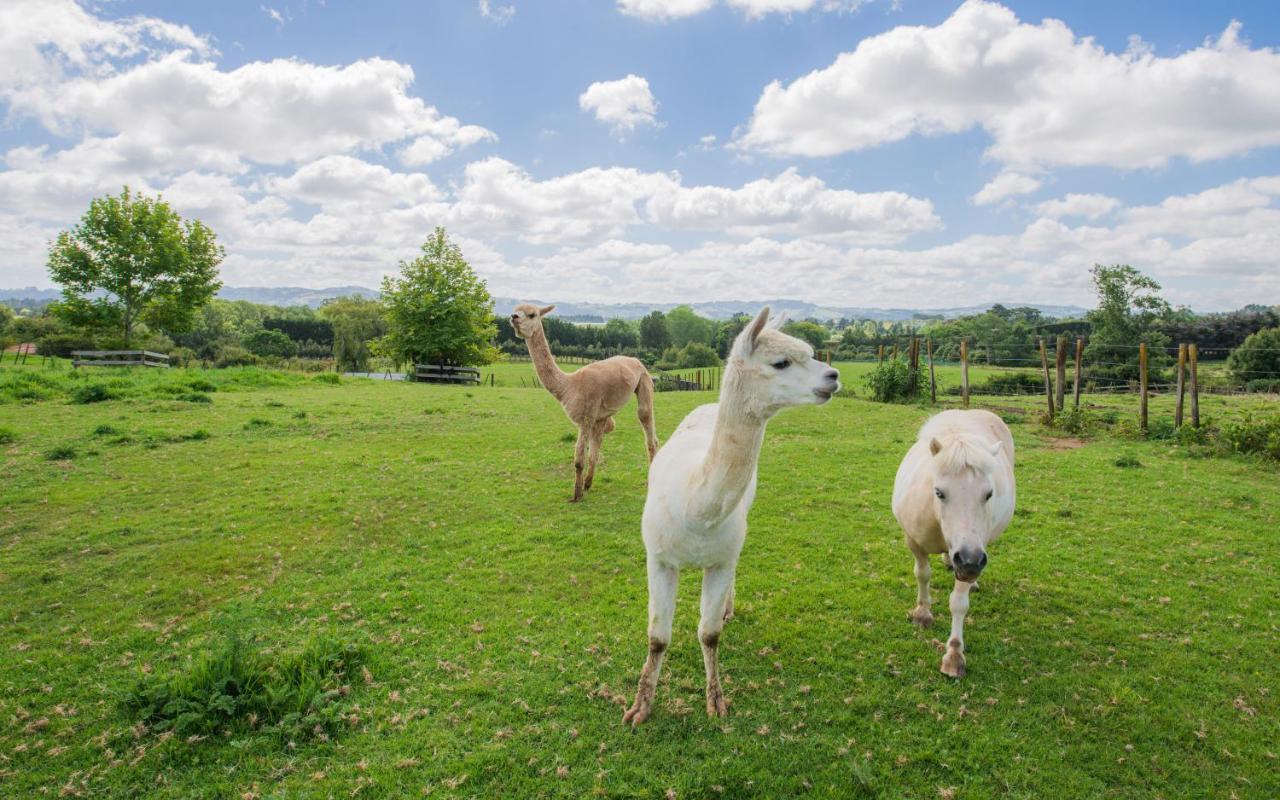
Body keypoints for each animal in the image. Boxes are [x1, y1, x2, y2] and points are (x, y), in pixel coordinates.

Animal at [622, 307, 839, 721]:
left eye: (812, 352)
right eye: (782, 362)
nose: (833, 376)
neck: (695, 510)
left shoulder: (721, 558)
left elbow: (708, 634)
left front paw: (716, 701)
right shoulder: (658, 557)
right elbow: (657, 638)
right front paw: (639, 707)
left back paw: (727, 608)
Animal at [896, 409, 1013, 675]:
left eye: (989, 494)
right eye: (939, 492)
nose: (969, 561)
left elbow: (958, 603)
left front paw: (954, 654)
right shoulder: (914, 541)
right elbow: (922, 574)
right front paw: (922, 613)